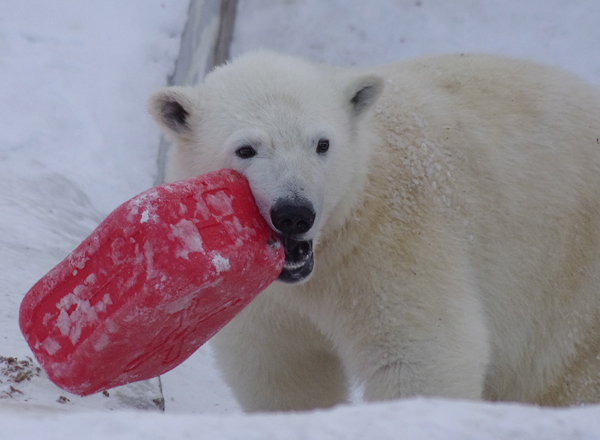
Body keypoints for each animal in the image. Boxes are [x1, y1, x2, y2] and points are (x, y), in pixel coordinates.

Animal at [149, 52, 600, 412]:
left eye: (322, 143)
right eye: (246, 149)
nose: (295, 213)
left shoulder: (388, 247)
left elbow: (420, 354)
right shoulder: (261, 296)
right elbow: (281, 371)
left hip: (571, 288)